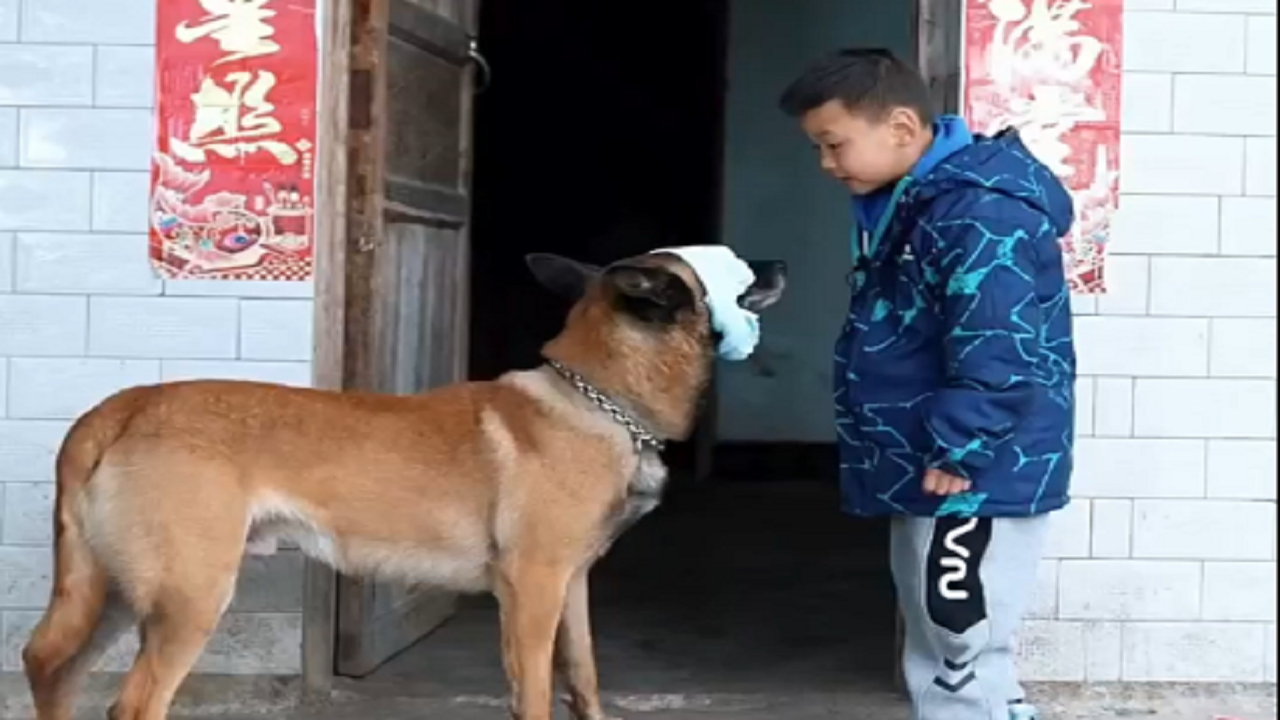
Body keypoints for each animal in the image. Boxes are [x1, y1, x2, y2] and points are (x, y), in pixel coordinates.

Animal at [22, 249, 788, 717]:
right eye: (727, 265)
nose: (779, 262)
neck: (597, 397)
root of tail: (124, 405)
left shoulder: (571, 585)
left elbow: (587, 680)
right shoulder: (532, 589)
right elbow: (537, 693)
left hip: (117, 592)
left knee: (50, 664)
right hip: (189, 595)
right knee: (133, 701)